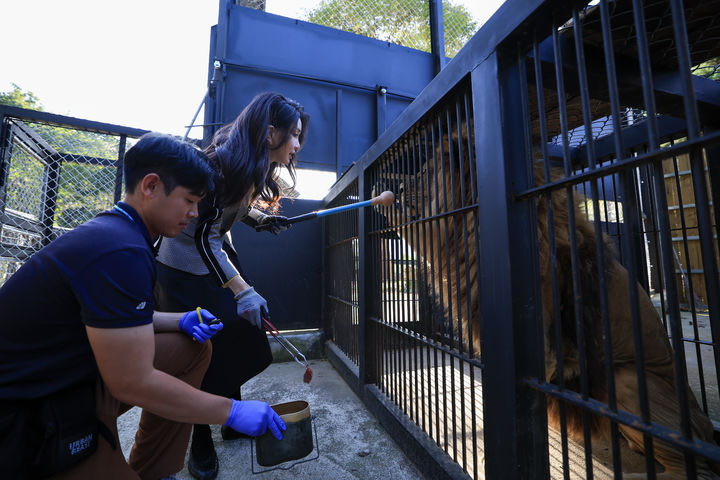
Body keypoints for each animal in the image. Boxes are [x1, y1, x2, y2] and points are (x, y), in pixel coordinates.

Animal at [386, 118, 720, 478]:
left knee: (695, 469)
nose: (399, 189)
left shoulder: (543, 348)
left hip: (628, 381)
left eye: (426, 171)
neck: (467, 227)